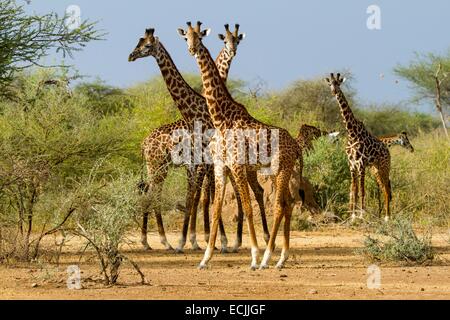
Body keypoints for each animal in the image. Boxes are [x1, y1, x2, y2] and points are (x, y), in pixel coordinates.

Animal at [126, 26, 268, 252]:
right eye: (140, 43)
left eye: (146, 45)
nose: (131, 56)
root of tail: (143, 143)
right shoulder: (199, 163)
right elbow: (200, 197)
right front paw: (202, 240)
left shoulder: (202, 163)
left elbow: (202, 197)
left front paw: (208, 240)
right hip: (157, 166)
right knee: (152, 193)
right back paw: (157, 241)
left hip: (159, 167)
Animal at [178, 21, 300, 268]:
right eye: (186, 37)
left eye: (199, 37)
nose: (192, 49)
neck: (221, 118)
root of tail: (296, 145)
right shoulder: (220, 166)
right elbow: (216, 209)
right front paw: (205, 259)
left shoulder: (237, 166)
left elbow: (247, 207)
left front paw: (253, 257)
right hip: (276, 172)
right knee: (288, 204)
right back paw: (281, 259)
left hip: (282, 169)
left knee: (280, 206)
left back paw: (266, 258)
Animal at [326, 74, 392, 221]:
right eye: (330, 84)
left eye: (338, 83)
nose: (334, 92)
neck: (351, 133)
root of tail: (387, 150)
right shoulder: (352, 165)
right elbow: (354, 191)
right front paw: (353, 216)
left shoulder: (361, 165)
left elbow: (361, 191)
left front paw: (362, 215)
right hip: (375, 169)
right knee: (384, 187)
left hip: (384, 167)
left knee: (387, 188)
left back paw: (387, 217)